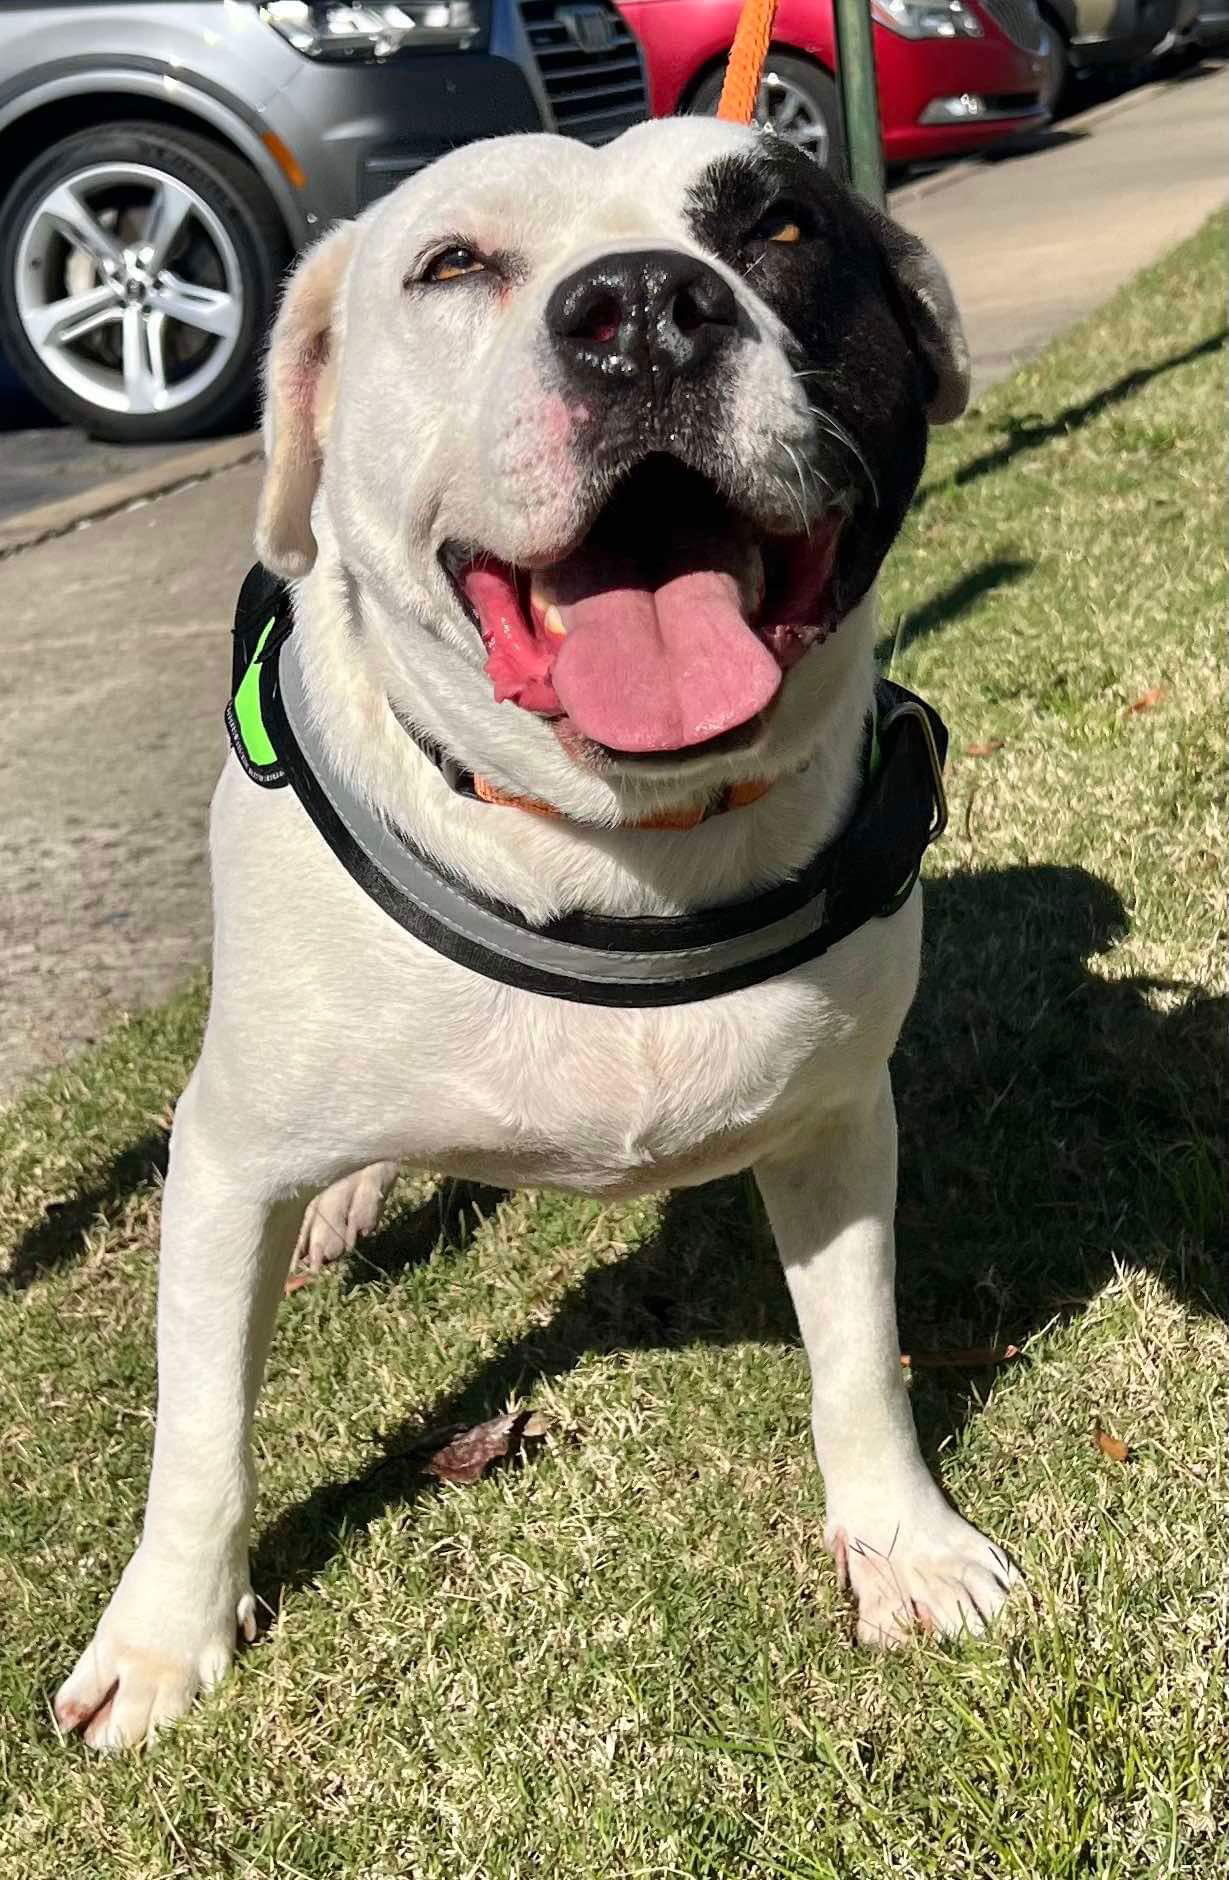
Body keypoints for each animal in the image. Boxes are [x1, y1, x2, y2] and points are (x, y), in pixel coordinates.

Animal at [55, 121, 1022, 1759]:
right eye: (453, 264)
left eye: (779, 227)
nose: (640, 307)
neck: (610, 842)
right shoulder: (223, 1165)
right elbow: (199, 1435)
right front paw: (165, 1638)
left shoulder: (835, 1125)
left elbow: (857, 1357)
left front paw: (904, 1543)